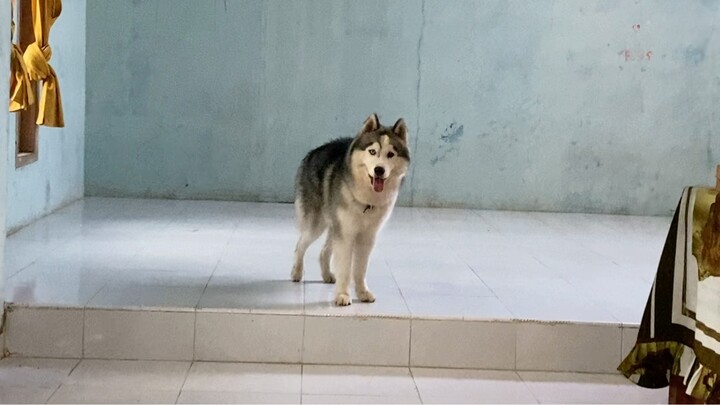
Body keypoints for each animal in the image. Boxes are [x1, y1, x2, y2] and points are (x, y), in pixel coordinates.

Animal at [290, 112, 408, 304]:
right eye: (372, 151)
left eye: (390, 154)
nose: (379, 170)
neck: (367, 200)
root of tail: (313, 152)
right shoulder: (346, 234)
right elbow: (345, 268)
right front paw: (343, 295)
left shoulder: (367, 236)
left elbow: (360, 268)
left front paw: (362, 292)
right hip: (317, 224)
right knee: (300, 244)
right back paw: (296, 272)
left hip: (335, 225)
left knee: (324, 251)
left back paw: (327, 275)